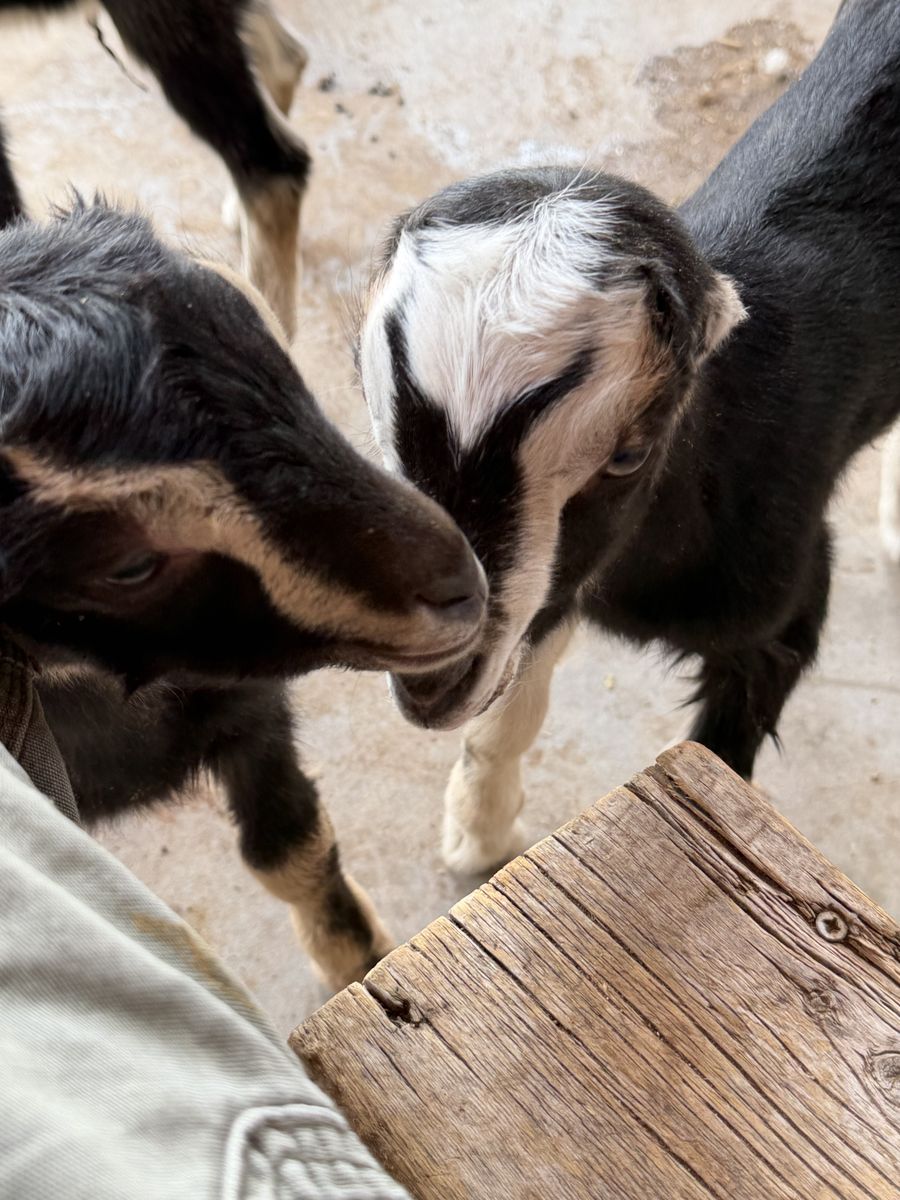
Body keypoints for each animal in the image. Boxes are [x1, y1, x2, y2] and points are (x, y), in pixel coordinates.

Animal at [0, 195, 486, 989]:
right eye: (129, 567)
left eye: (289, 375)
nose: (461, 587)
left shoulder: (247, 713)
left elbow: (291, 847)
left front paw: (360, 960)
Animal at [359, 0, 900, 873]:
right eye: (383, 428)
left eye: (628, 455)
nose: (431, 676)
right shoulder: (550, 588)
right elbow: (510, 708)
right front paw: (481, 838)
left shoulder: (781, 605)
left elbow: (722, 760)